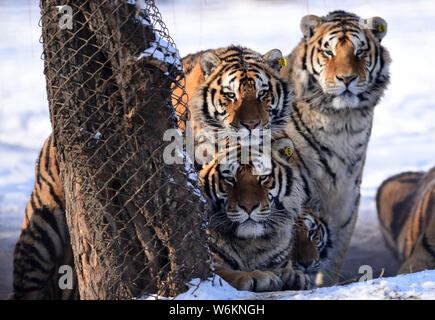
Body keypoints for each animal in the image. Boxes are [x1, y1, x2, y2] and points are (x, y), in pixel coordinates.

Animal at [198, 136, 328, 292]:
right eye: (229, 179)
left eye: (263, 177)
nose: (249, 206)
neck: (250, 244)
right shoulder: (213, 262)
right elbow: (225, 274)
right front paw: (259, 277)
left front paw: (294, 275)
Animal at [282, 10, 394, 286]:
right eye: (328, 51)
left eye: (360, 51)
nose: (347, 78)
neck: (341, 123)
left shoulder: (346, 199)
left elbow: (333, 256)